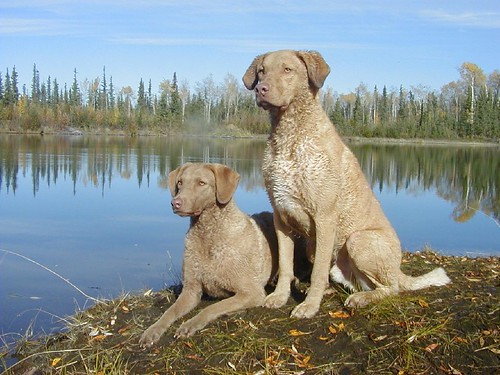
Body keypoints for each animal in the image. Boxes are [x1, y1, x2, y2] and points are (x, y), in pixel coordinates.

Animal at [242, 50, 450, 318]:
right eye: (261, 71)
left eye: (287, 69)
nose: (261, 89)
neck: (289, 137)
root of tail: (399, 270)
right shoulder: (281, 216)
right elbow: (287, 266)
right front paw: (279, 296)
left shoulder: (324, 217)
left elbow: (318, 273)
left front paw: (309, 305)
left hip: (358, 241)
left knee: (391, 288)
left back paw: (360, 299)